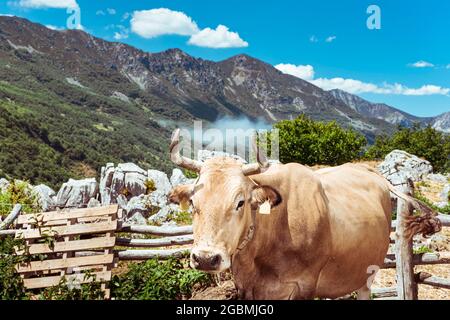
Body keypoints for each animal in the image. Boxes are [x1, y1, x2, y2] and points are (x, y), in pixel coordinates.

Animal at [167, 129, 442, 298]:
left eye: (240, 202)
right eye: (193, 202)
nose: (205, 259)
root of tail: (369, 171)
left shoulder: (305, 285)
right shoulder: (245, 287)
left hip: (367, 274)